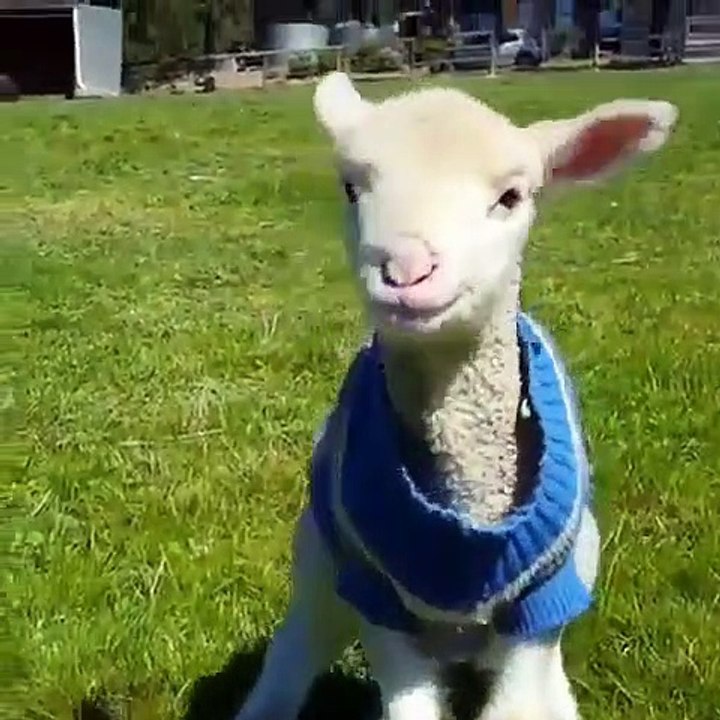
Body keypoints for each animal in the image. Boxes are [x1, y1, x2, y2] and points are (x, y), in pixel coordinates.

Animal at [233, 73, 678, 720]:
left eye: (512, 197)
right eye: (351, 187)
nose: (405, 270)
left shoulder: (541, 605)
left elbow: (518, 704)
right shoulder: (376, 594)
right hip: (319, 560)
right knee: (296, 649)